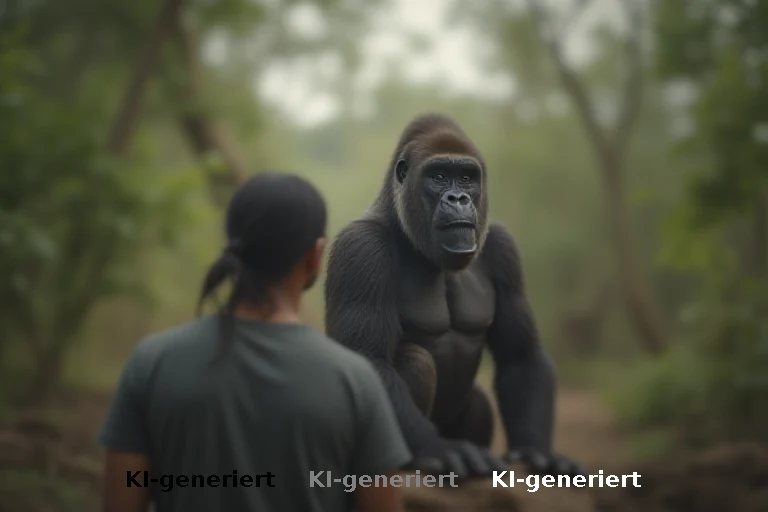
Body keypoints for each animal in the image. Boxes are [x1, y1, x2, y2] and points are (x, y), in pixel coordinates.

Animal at [324, 113, 585, 479]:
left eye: (466, 178)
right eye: (439, 176)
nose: (458, 199)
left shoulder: (503, 247)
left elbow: (520, 355)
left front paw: (537, 450)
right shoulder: (360, 249)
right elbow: (369, 360)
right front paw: (437, 448)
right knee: (414, 360)